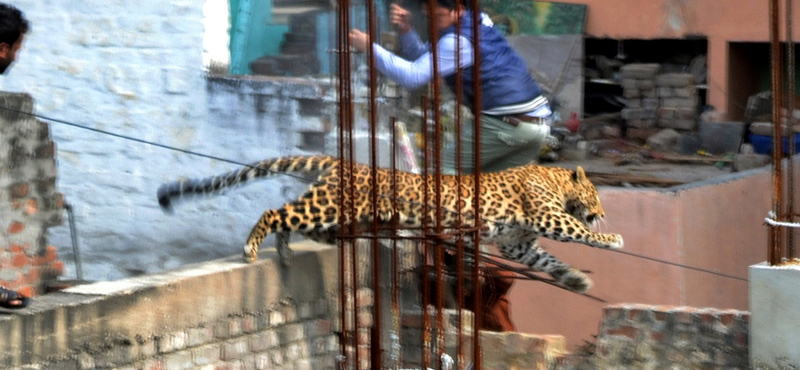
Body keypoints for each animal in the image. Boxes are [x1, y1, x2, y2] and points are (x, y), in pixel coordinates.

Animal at [158, 155, 624, 294]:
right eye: (597, 196)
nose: (604, 210)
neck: (555, 179)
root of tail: (339, 161)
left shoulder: (517, 244)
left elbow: (548, 260)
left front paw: (576, 279)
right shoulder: (548, 215)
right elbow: (581, 233)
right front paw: (612, 237)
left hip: (334, 215)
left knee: (291, 216)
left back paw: (287, 251)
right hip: (330, 207)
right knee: (276, 212)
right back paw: (253, 248)